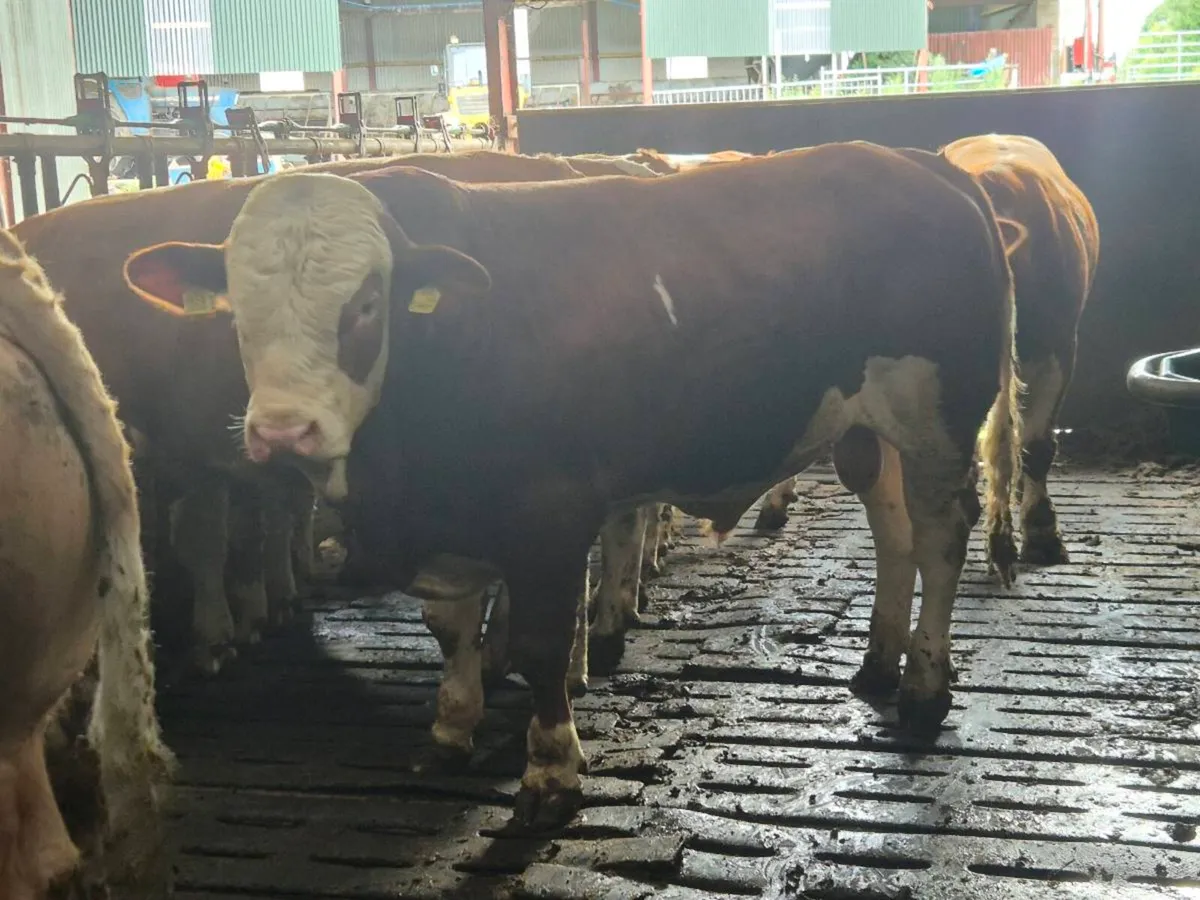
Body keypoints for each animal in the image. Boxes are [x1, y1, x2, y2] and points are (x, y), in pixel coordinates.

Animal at [123, 141, 1022, 833]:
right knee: (894, 531)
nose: (283, 432)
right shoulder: (454, 524)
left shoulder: (549, 515)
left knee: (941, 535)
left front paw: (551, 774)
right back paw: (877, 662)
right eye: (237, 310)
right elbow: (452, 626)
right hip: (872, 431)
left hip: (939, 423)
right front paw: (451, 726)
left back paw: (925, 687)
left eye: (367, 304)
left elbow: (541, 646)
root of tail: (923, 162)